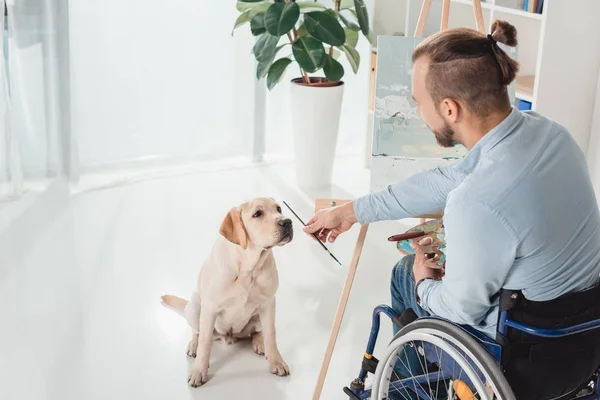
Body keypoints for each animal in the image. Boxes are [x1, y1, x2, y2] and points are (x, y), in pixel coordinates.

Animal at [158, 198, 292, 386]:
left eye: (279, 209)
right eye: (257, 214)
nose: (287, 222)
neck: (248, 267)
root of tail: (230, 336)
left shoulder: (268, 302)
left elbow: (271, 335)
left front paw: (276, 362)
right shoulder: (210, 308)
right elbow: (205, 343)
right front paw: (199, 370)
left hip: (260, 313)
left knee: (258, 331)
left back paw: (259, 343)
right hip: (194, 306)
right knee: (197, 331)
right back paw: (194, 345)